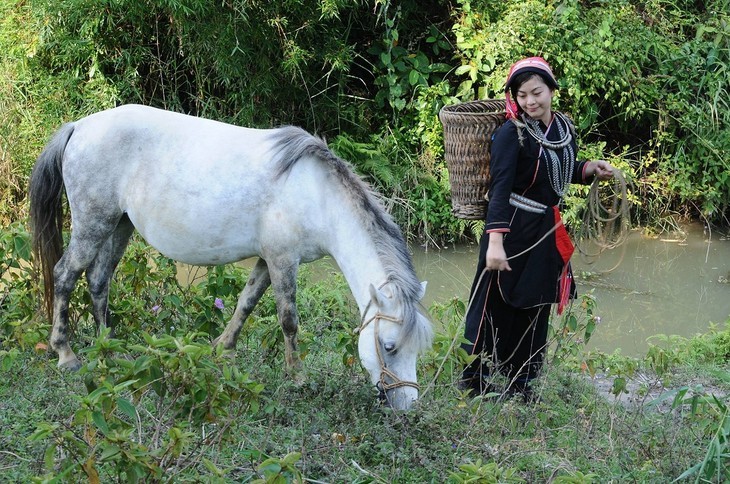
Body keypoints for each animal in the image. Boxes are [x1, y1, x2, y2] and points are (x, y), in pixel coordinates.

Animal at [29, 105, 432, 408]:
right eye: (389, 346)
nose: (407, 407)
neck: (317, 196)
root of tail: (80, 127)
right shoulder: (283, 261)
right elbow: (289, 320)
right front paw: (297, 378)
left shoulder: (267, 260)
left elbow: (245, 303)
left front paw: (222, 349)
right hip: (93, 224)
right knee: (65, 275)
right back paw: (67, 354)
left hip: (119, 226)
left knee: (99, 281)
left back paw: (109, 349)